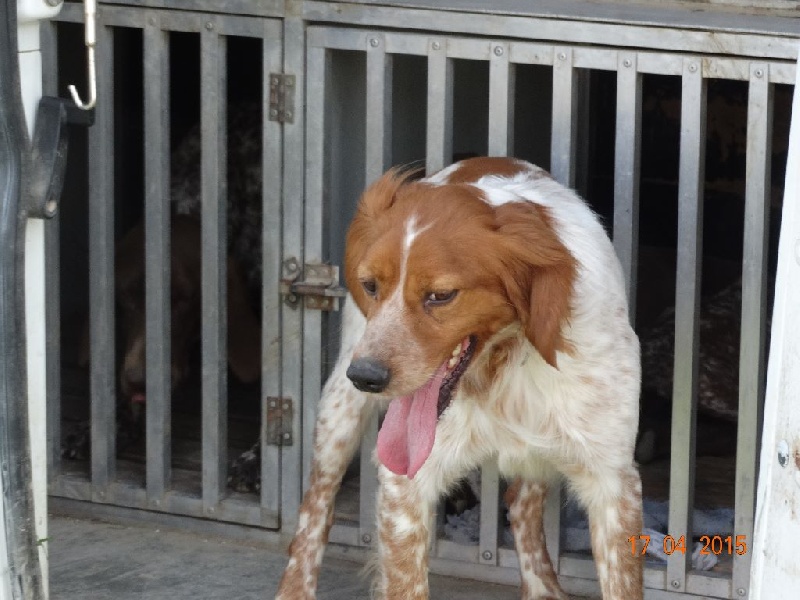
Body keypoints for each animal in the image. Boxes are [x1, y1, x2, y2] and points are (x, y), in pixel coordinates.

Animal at [276, 157, 644, 599]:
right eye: (371, 285)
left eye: (440, 295)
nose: (365, 377)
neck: (504, 361)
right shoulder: (404, 485)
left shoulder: (613, 480)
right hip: (338, 416)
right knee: (314, 507)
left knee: (520, 502)